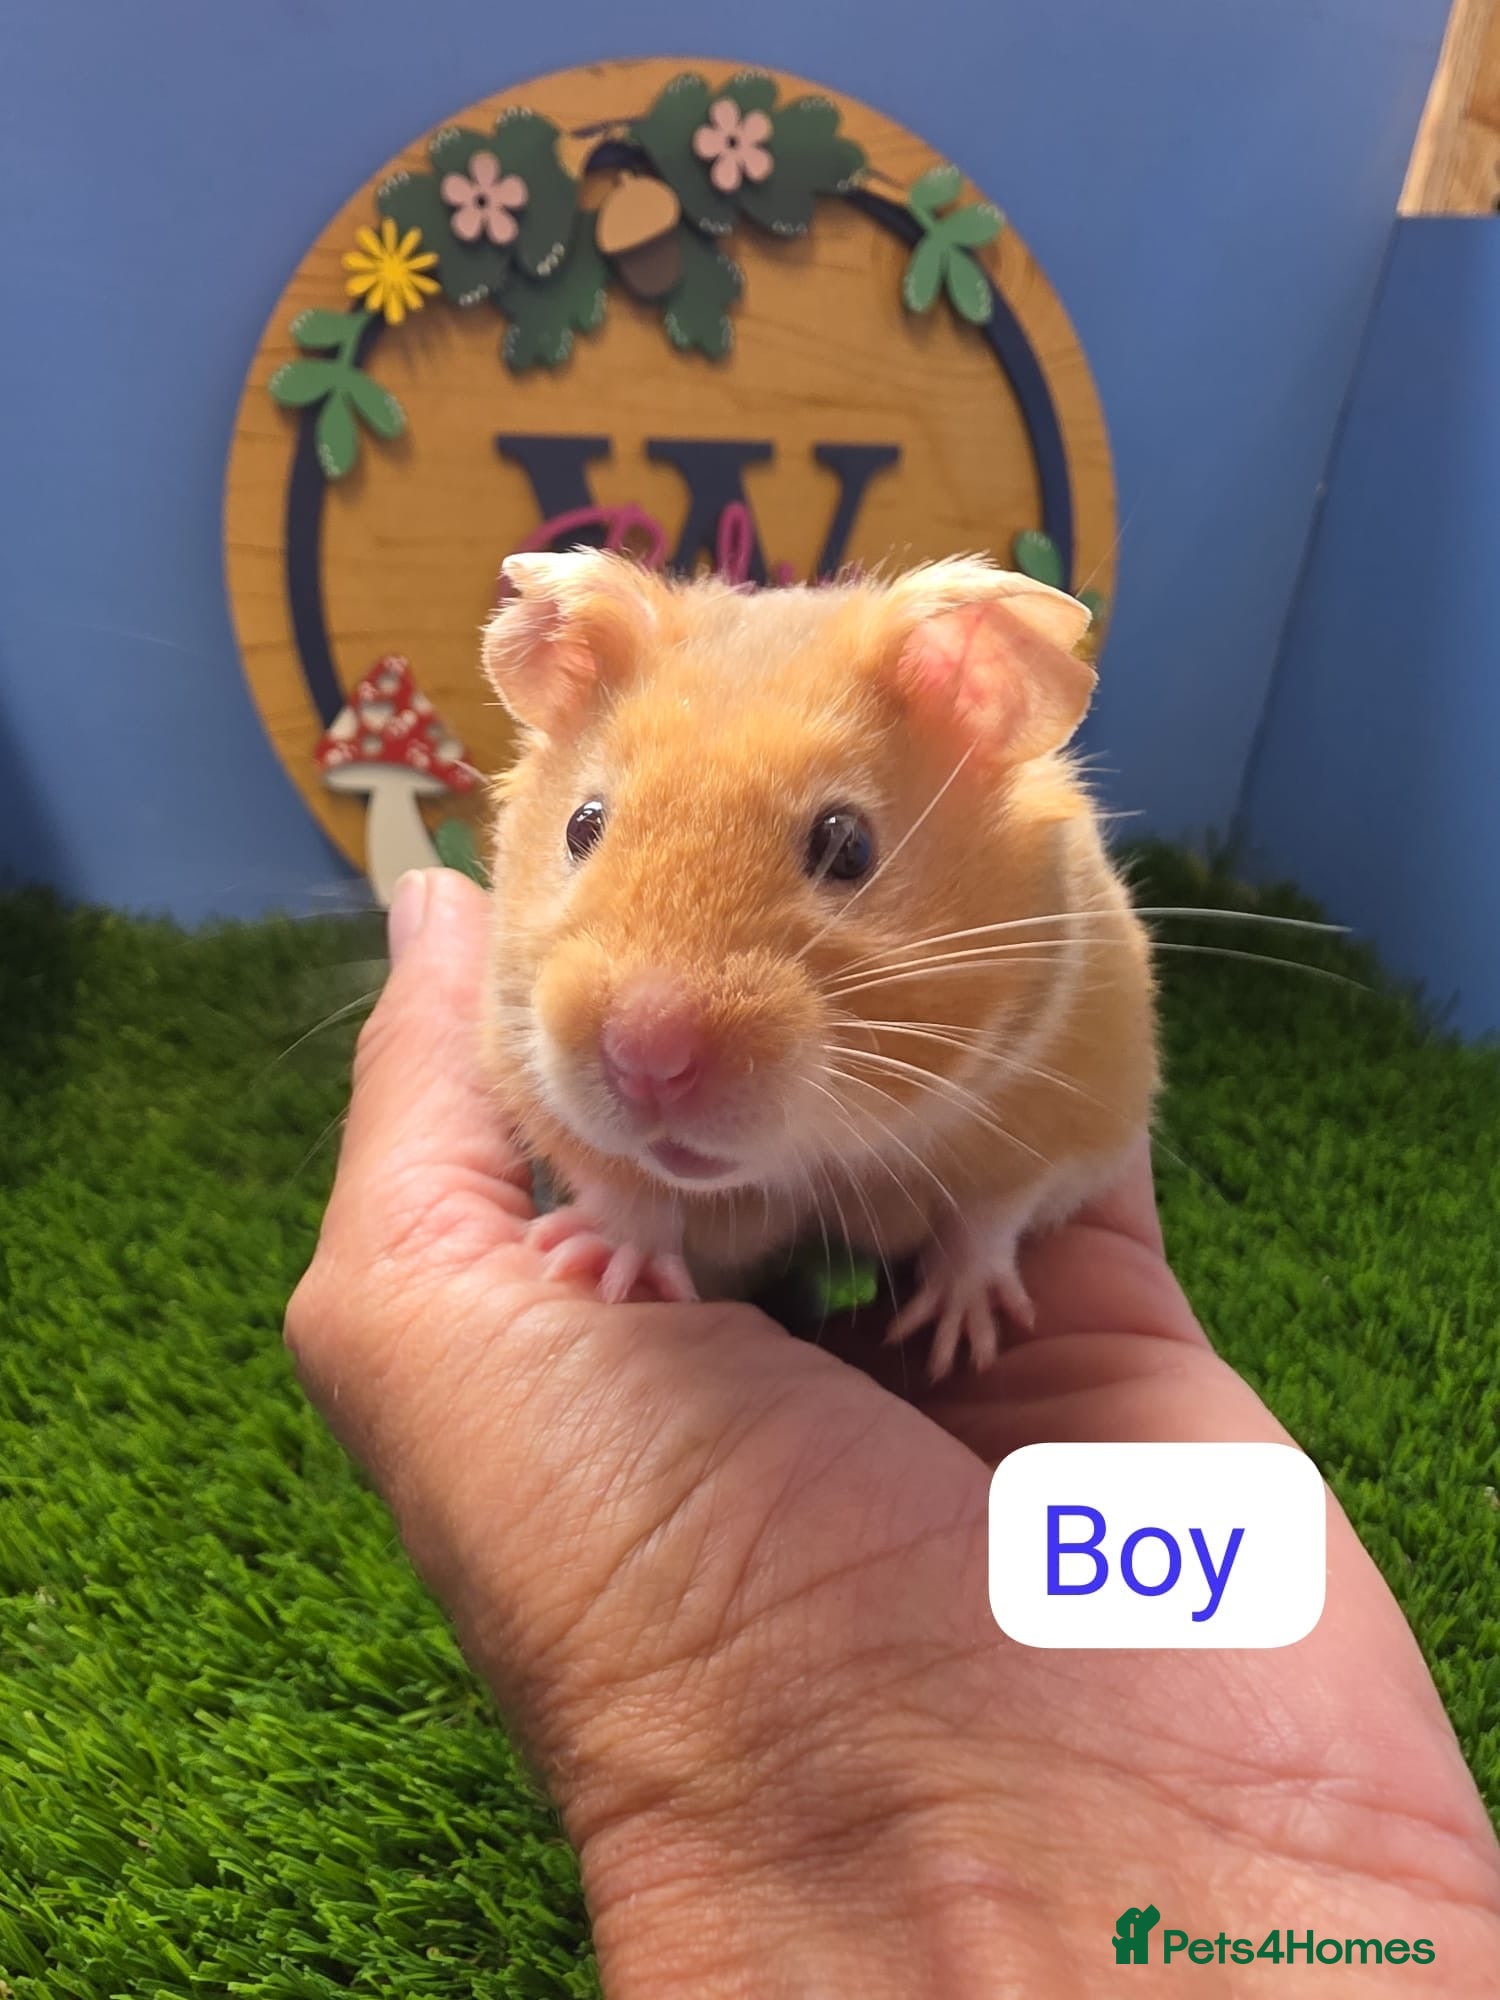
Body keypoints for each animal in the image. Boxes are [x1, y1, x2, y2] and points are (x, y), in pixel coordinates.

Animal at [479, 548, 1157, 1379]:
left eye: (847, 843)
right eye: (582, 825)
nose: (646, 1060)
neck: (822, 1155)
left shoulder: (1070, 1109)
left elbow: (991, 1214)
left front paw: (956, 1337)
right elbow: (625, 1192)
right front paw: (602, 1266)